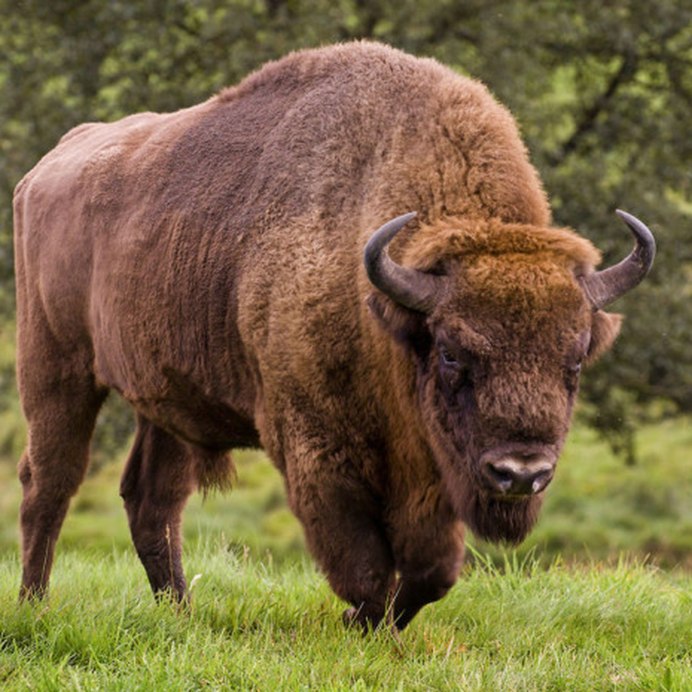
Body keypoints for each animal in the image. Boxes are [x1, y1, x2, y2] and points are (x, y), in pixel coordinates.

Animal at [13, 41, 654, 630]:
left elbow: (431, 572)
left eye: (575, 361)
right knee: (49, 483)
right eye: (452, 353)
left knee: (152, 499)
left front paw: (374, 621)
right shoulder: (319, 450)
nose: (520, 474)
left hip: (165, 400)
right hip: (56, 369)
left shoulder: (428, 471)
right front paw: (357, 620)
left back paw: (182, 614)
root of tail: (47, 168)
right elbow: (363, 562)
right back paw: (34, 607)